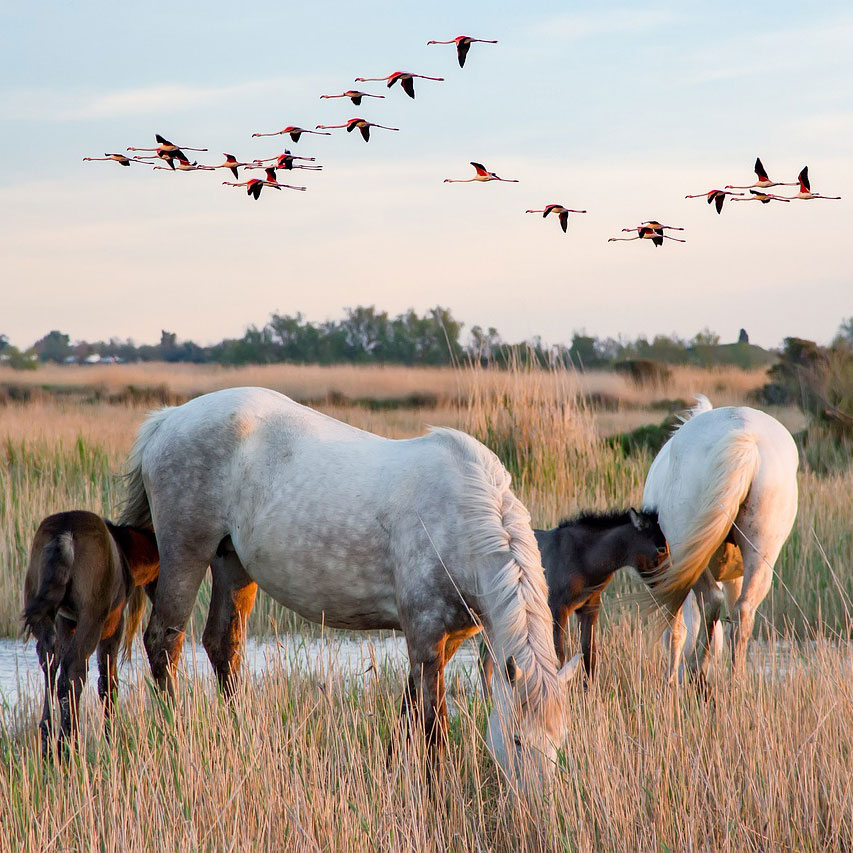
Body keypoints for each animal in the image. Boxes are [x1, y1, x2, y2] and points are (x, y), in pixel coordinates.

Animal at [23, 510, 159, 756]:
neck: (126, 553)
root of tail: (64, 535)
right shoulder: (114, 624)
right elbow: (108, 681)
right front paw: (113, 738)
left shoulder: (66, 621)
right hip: (92, 616)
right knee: (74, 670)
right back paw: (68, 745)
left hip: (42, 611)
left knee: (50, 663)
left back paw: (48, 742)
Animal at [121, 390, 580, 784]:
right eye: (517, 739)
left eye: (560, 743)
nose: (535, 810)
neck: (462, 518)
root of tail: (167, 420)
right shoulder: (426, 636)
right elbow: (433, 724)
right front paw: (436, 789)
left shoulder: (445, 640)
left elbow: (409, 708)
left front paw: (393, 770)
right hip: (186, 553)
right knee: (164, 642)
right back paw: (175, 732)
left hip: (232, 565)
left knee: (223, 646)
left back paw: (241, 733)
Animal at [644, 396, 800, 684]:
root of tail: (746, 437)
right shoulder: (733, 576)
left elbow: (675, 632)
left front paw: (670, 680)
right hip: (760, 555)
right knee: (742, 612)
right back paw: (735, 681)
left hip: (688, 555)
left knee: (710, 602)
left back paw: (695, 670)